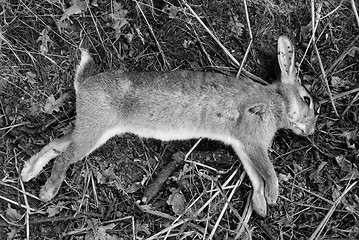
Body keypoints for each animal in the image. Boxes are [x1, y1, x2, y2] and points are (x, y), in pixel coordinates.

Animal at [21, 36, 320, 218]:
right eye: (307, 99)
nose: (311, 130)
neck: (276, 103)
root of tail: (83, 84)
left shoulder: (243, 145)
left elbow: (255, 176)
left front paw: (260, 206)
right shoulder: (254, 141)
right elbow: (267, 172)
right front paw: (273, 196)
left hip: (89, 126)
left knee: (56, 144)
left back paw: (27, 172)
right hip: (94, 131)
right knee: (64, 157)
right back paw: (47, 192)